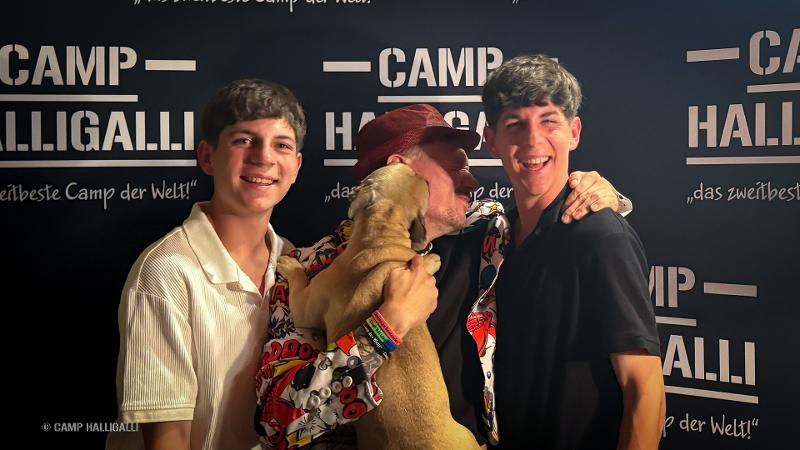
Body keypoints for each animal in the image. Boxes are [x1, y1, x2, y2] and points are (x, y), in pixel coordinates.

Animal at [277, 163, 480, 450]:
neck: (383, 232)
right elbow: (419, 259)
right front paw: (432, 259)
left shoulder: (304, 305)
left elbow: (298, 281)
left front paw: (290, 265)